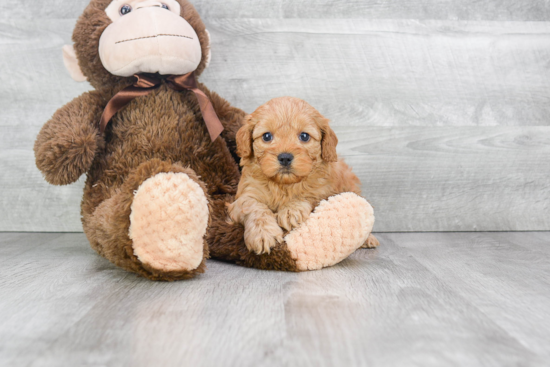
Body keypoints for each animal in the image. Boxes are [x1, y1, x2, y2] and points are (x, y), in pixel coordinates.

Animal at [229, 96, 380, 254]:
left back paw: (368, 239)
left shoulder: (323, 192)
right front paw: (262, 233)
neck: (284, 185)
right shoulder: (246, 194)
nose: (285, 157)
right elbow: (253, 206)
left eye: (304, 136)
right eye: (267, 136)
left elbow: (308, 195)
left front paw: (290, 211)